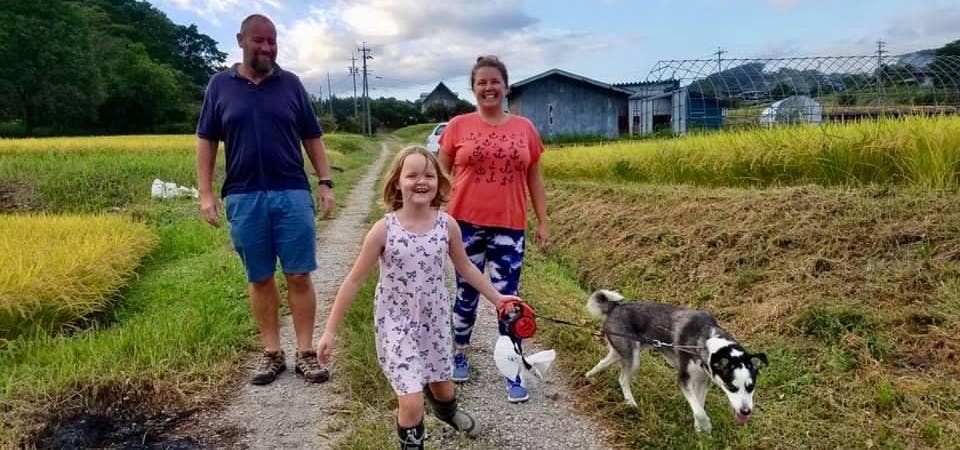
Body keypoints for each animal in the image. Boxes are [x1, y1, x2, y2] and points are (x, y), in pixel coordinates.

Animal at [580, 290, 768, 434]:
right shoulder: (684, 379)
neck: (706, 341)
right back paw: (630, 403)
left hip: (620, 352)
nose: (746, 412)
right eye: (731, 387)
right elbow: (700, 411)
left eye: (751, 387)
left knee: (602, 363)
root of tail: (615, 307)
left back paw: (589, 376)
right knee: (622, 379)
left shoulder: (703, 380)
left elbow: (698, 406)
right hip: (633, 358)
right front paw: (705, 426)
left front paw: (699, 429)